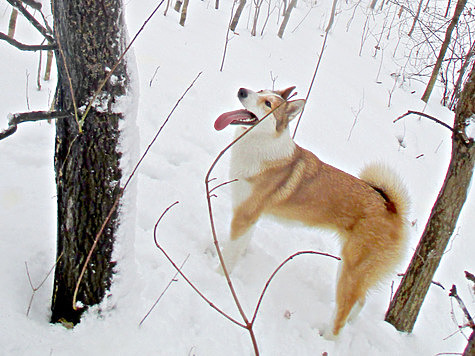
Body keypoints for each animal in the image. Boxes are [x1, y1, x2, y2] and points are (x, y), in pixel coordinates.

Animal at [214, 86, 410, 336]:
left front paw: (218, 275)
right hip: (354, 272)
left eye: (268, 103)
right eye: (260, 90)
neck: (262, 146)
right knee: (360, 302)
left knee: (341, 319)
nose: (242, 90)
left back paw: (325, 336)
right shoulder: (251, 216)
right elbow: (238, 248)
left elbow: (230, 254)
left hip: (350, 271)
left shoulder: (244, 215)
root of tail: (393, 210)